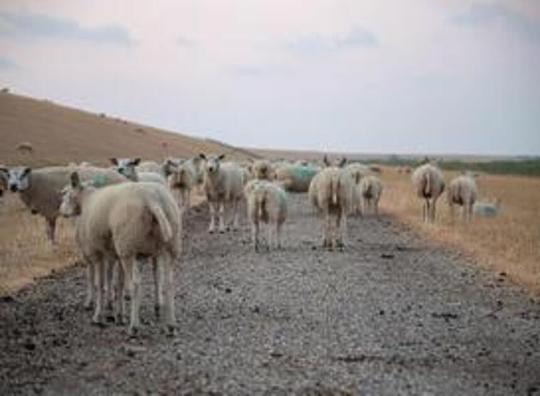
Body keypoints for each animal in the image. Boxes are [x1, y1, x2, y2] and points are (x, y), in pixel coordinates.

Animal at [59, 173, 179, 334]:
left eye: (66, 193)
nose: (61, 211)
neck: (87, 201)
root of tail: (152, 199)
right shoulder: (116, 254)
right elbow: (120, 284)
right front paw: (119, 315)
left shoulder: (97, 253)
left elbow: (100, 284)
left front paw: (98, 316)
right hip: (168, 246)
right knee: (169, 282)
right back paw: (171, 325)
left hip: (129, 246)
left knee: (135, 284)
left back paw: (134, 327)